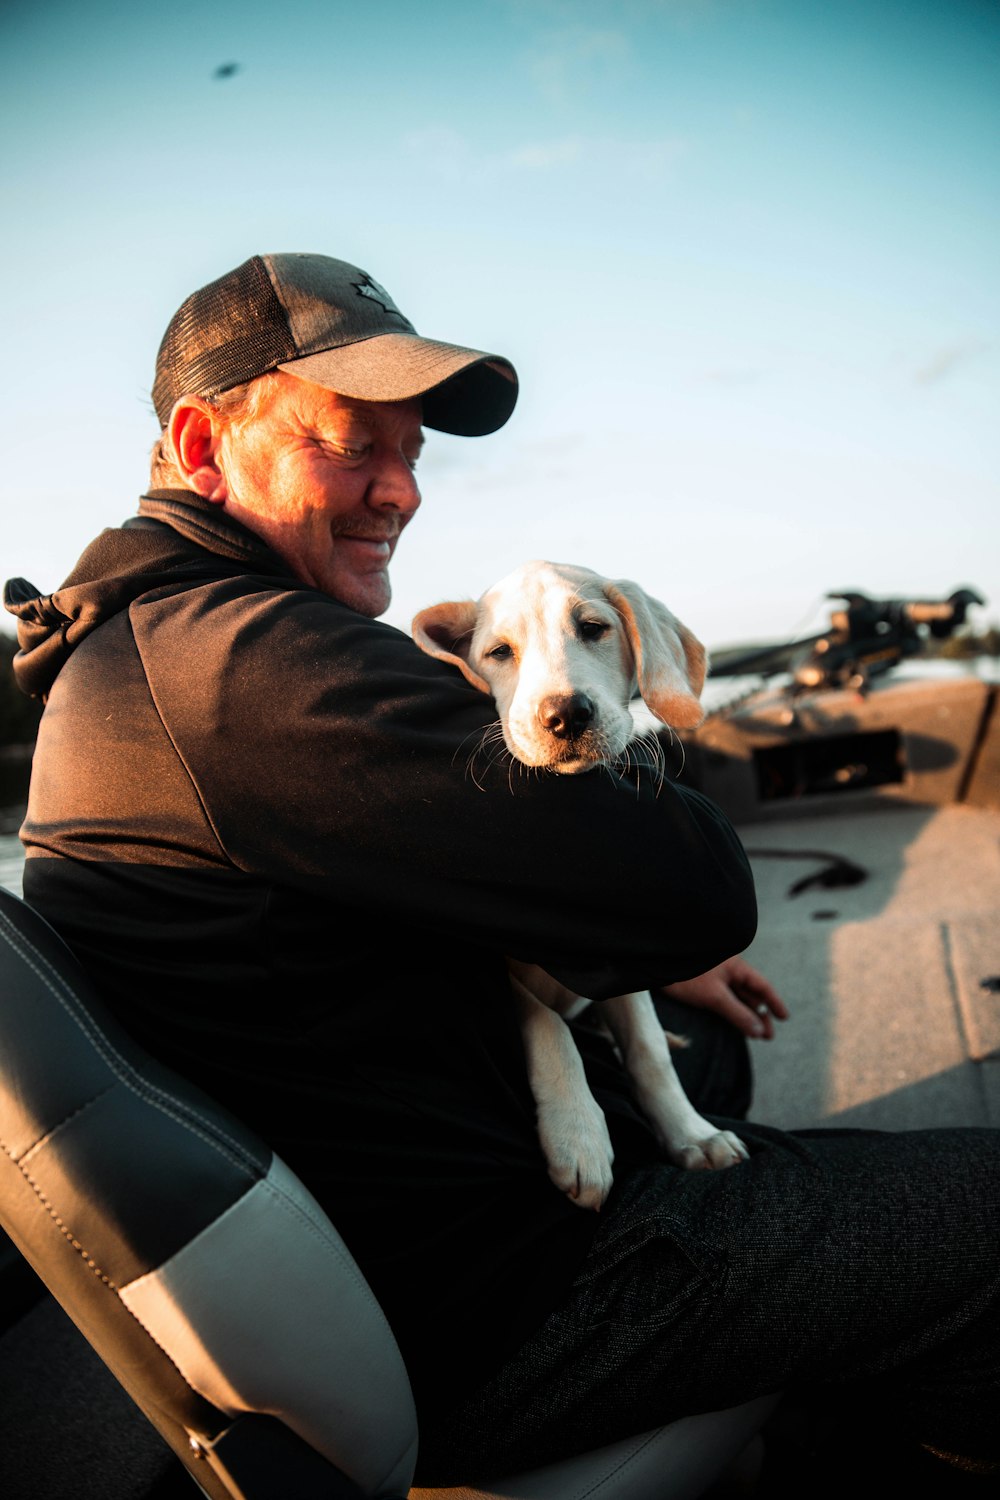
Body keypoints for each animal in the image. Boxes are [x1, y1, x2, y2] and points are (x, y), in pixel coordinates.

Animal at [410, 564, 746, 1206]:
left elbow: (648, 1051)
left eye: (593, 629)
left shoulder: (624, 966)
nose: (565, 715)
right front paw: (579, 1135)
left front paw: (691, 1133)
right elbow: (545, 1024)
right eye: (498, 653)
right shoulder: (490, 966)